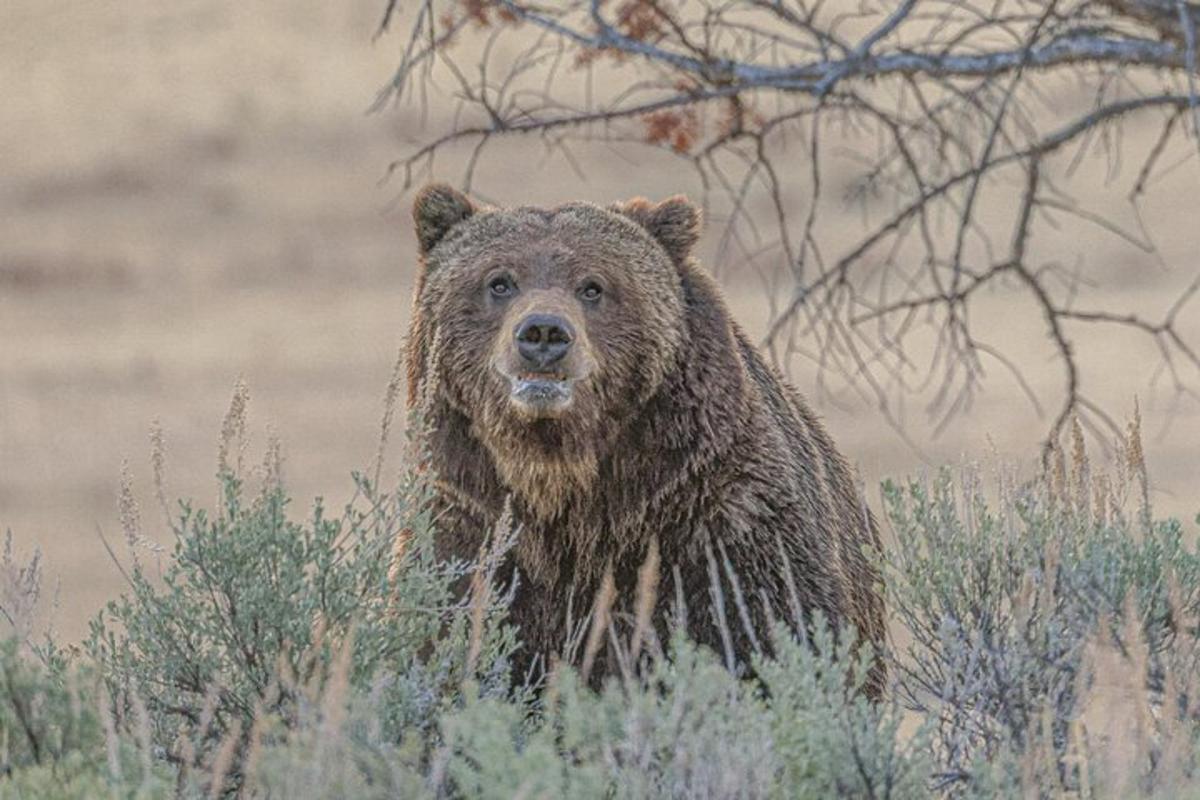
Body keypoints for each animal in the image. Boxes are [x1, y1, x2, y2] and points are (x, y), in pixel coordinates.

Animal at [400, 184, 883, 695]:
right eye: (499, 281)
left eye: (593, 286)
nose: (544, 332)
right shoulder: (470, 529)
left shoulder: (714, 522)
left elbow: (766, 632)